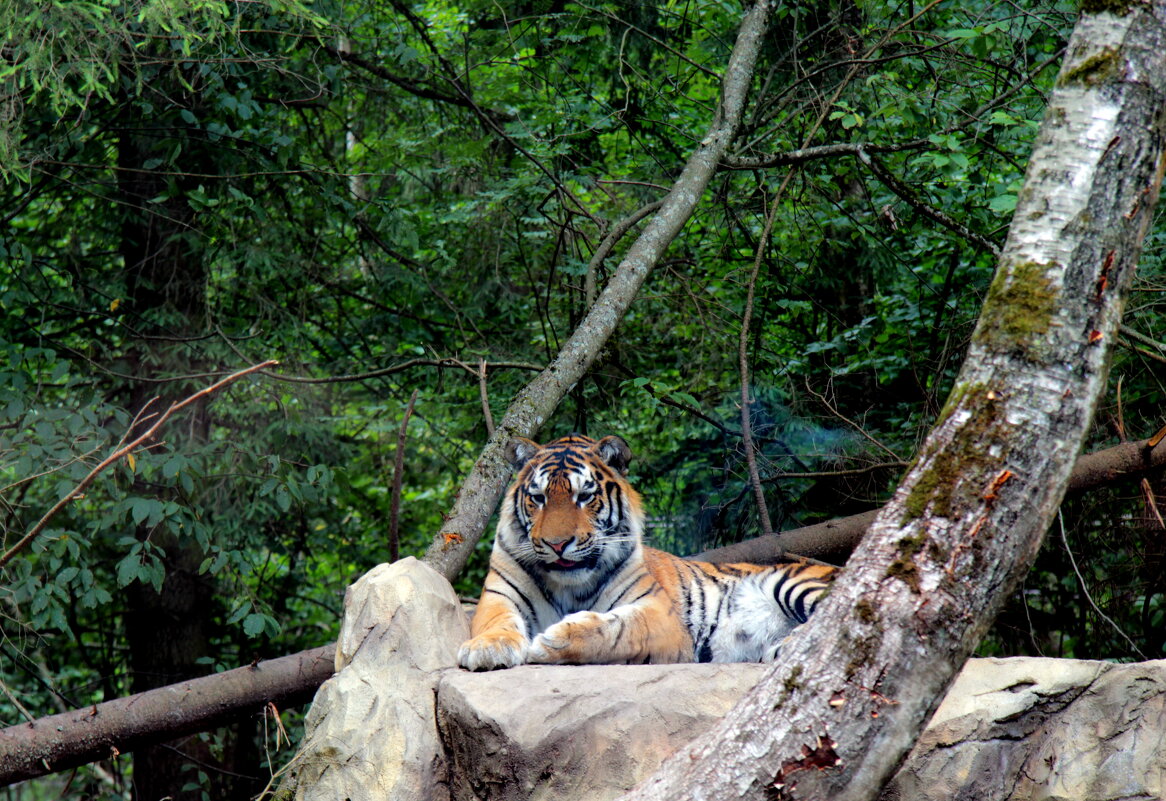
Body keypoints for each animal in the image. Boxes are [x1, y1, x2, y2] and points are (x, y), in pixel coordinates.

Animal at [454, 436, 839, 671]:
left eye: (584, 497)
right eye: (538, 498)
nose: (557, 544)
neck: (568, 585)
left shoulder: (659, 616)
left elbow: (618, 629)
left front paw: (555, 639)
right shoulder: (499, 595)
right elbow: (496, 621)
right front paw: (486, 649)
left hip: (795, 584)